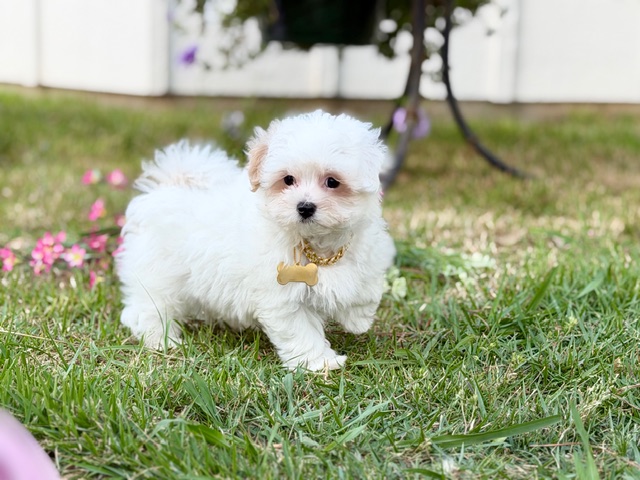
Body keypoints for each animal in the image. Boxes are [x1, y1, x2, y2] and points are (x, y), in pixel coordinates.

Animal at [116, 110, 396, 370]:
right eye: (288, 180)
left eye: (332, 181)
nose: (305, 207)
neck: (316, 246)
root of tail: (164, 188)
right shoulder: (284, 298)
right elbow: (302, 331)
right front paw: (320, 363)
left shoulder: (367, 252)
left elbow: (364, 289)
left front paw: (358, 320)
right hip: (157, 275)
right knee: (147, 308)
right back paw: (162, 340)